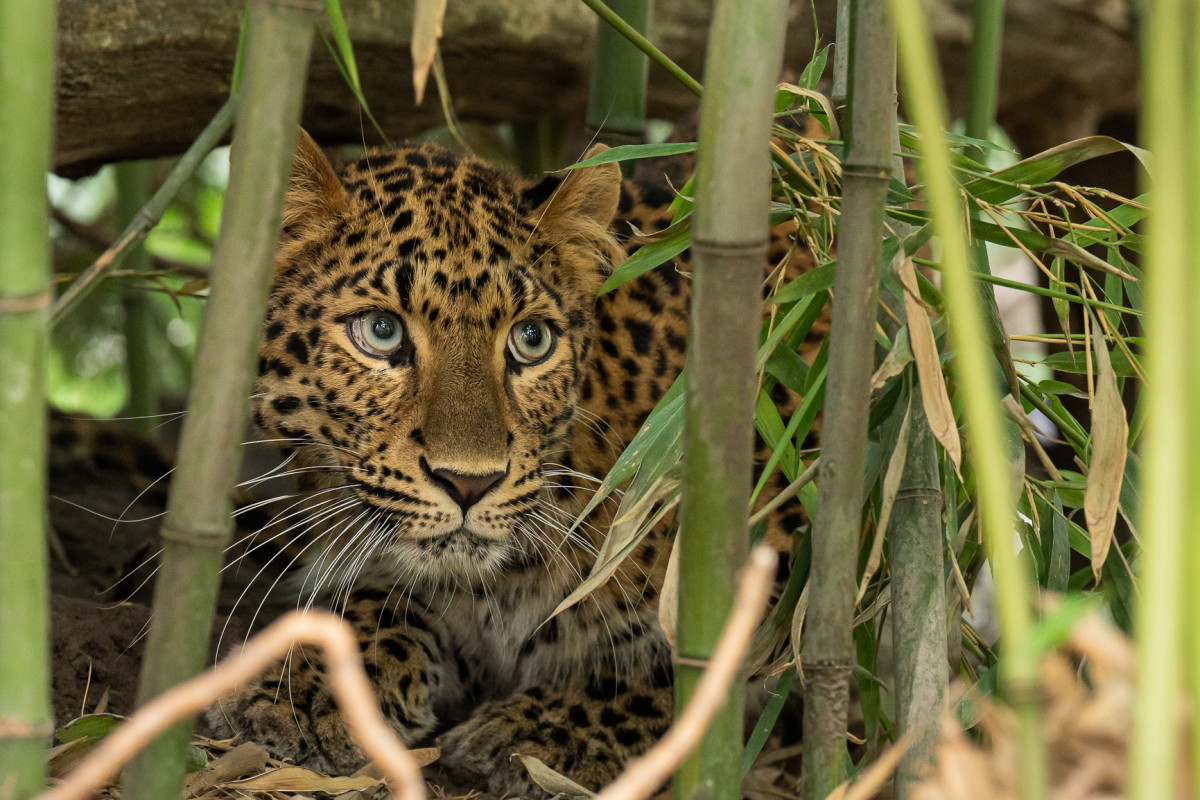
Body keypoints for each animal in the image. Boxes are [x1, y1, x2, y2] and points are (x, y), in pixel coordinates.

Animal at [211, 131, 820, 796]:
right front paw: (302, 690)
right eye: (380, 330)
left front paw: (552, 731)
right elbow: (370, 603)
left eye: (531, 340)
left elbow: (694, 664)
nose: (467, 483)